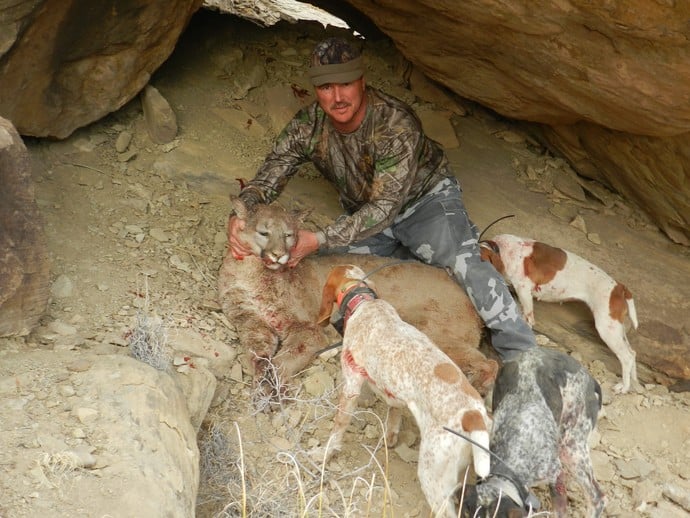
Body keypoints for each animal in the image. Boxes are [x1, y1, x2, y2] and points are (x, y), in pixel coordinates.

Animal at [314, 268, 492, 518]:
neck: (365, 301)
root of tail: (473, 416)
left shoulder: (351, 385)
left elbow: (337, 429)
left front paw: (325, 453)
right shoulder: (393, 393)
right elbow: (394, 412)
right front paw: (391, 436)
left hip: (432, 477)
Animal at [482, 236, 636, 394]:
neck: (500, 249)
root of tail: (619, 287)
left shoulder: (523, 290)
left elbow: (527, 320)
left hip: (606, 327)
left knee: (627, 357)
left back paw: (624, 387)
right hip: (615, 328)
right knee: (632, 353)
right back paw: (633, 382)